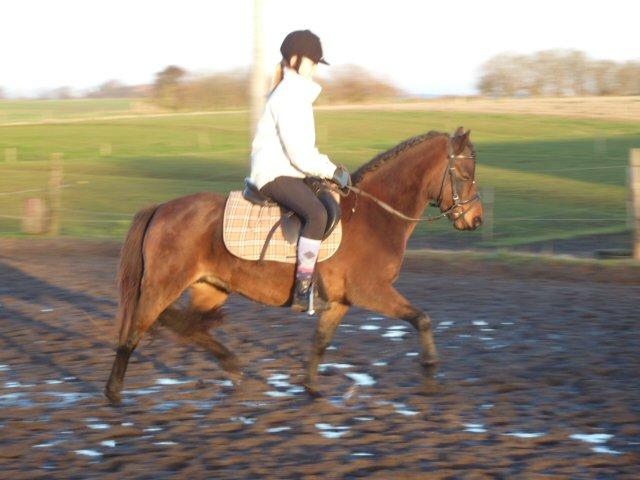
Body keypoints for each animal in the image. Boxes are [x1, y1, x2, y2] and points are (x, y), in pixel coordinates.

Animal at [105, 126, 483, 403]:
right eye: (466, 173)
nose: (476, 219)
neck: (375, 216)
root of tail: (161, 208)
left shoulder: (342, 302)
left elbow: (321, 341)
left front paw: (311, 387)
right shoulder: (371, 291)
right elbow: (422, 319)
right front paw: (430, 373)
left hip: (210, 287)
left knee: (187, 324)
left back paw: (233, 367)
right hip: (164, 283)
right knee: (138, 328)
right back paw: (114, 392)